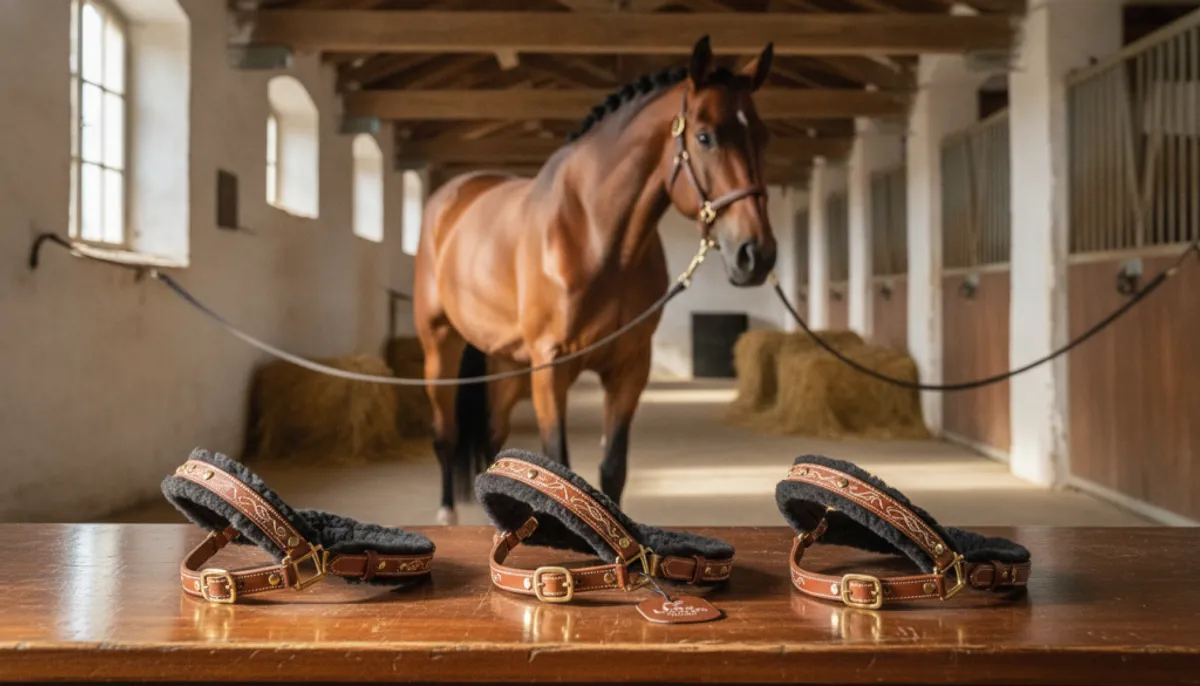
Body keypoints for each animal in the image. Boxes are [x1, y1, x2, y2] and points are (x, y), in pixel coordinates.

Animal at [413, 36, 779, 525]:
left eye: (762, 136)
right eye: (705, 136)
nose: (756, 254)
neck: (591, 234)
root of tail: (452, 197)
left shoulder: (629, 367)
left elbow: (612, 469)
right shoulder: (551, 369)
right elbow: (557, 463)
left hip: (506, 361)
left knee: (493, 434)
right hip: (441, 347)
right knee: (446, 432)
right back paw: (446, 515)